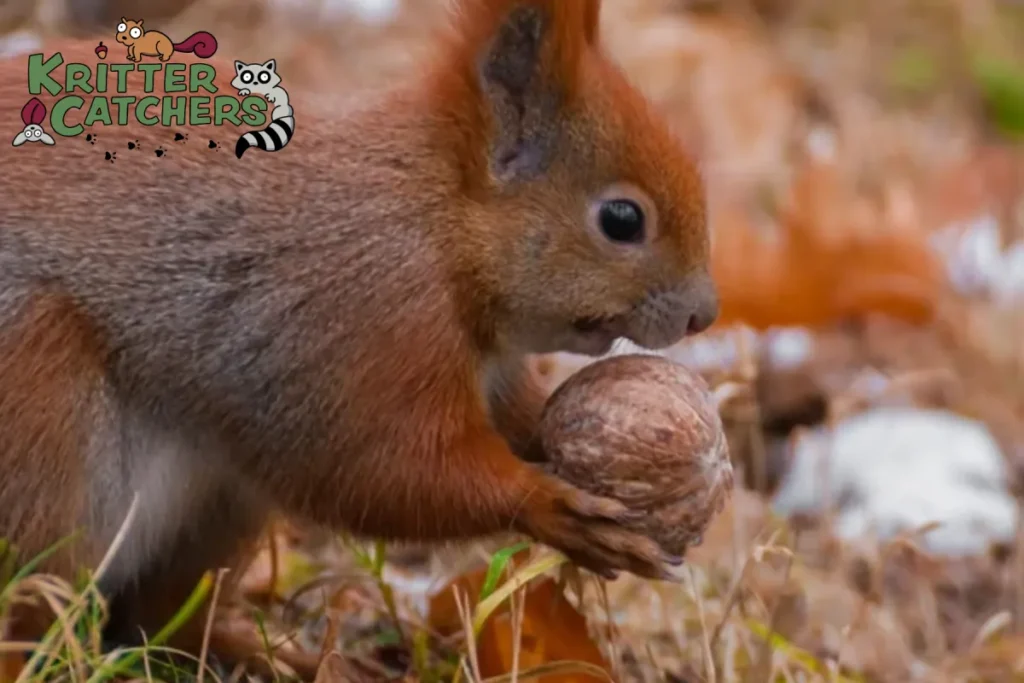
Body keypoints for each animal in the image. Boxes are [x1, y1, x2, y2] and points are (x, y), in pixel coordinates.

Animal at [0, 0, 717, 665]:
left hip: (218, 511)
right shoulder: (360, 317)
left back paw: (262, 654)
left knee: (157, 621)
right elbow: (379, 467)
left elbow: (515, 422)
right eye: (621, 219)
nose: (703, 315)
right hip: (39, 417)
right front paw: (547, 504)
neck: (434, 221)